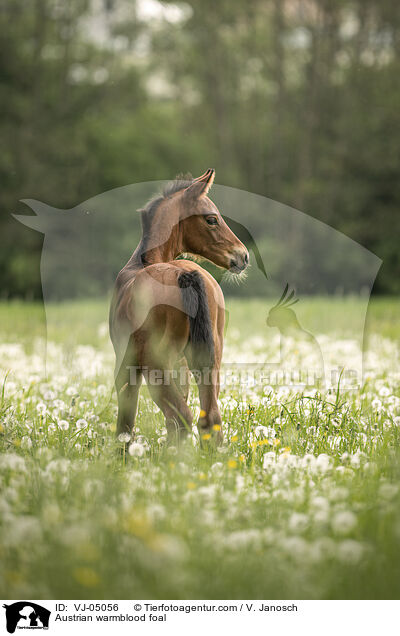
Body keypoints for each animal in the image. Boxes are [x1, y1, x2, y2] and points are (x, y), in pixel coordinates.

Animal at [108, 171, 247, 444]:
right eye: (212, 219)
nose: (243, 256)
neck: (142, 263)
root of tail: (186, 274)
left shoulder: (126, 365)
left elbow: (126, 420)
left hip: (155, 365)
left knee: (181, 417)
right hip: (209, 359)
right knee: (208, 417)